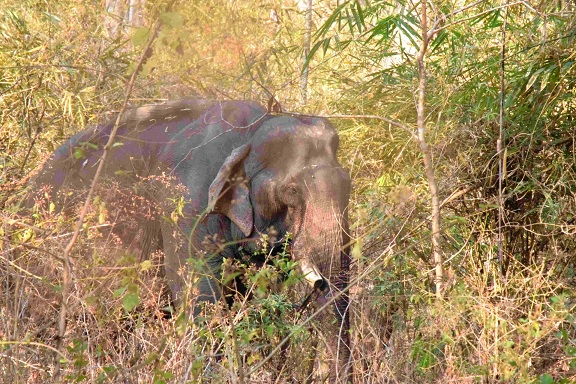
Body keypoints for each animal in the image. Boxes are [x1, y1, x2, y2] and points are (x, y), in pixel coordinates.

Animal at [25, 99, 352, 380]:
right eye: (292, 192)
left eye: (348, 185)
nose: (320, 284)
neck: (249, 131)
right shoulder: (185, 205)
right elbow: (201, 300)